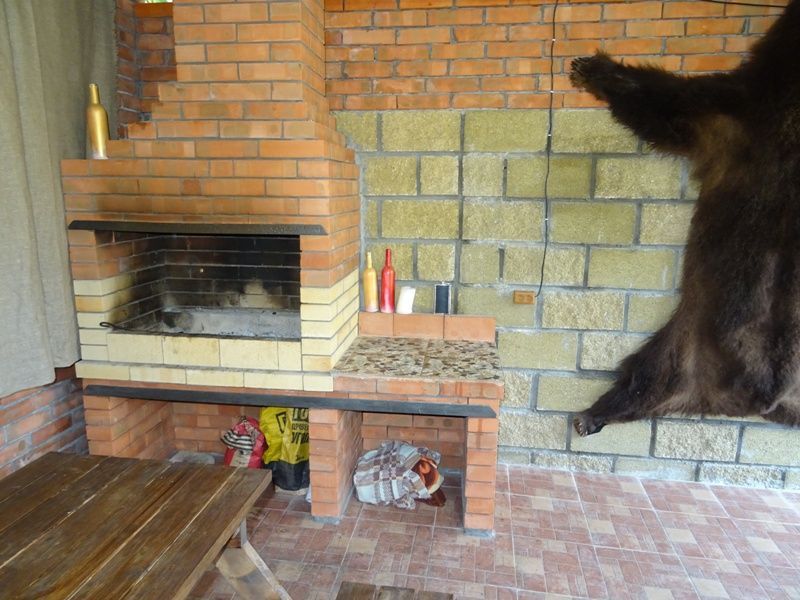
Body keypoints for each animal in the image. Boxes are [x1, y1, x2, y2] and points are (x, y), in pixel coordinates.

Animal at [568, 0, 800, 436]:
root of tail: (758, 400)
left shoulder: (737, 116)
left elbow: (668, 103)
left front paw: (592, 66)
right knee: (649, 383)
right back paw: (594, 415)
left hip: (689, 339)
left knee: (643, 376)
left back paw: (592, 413)